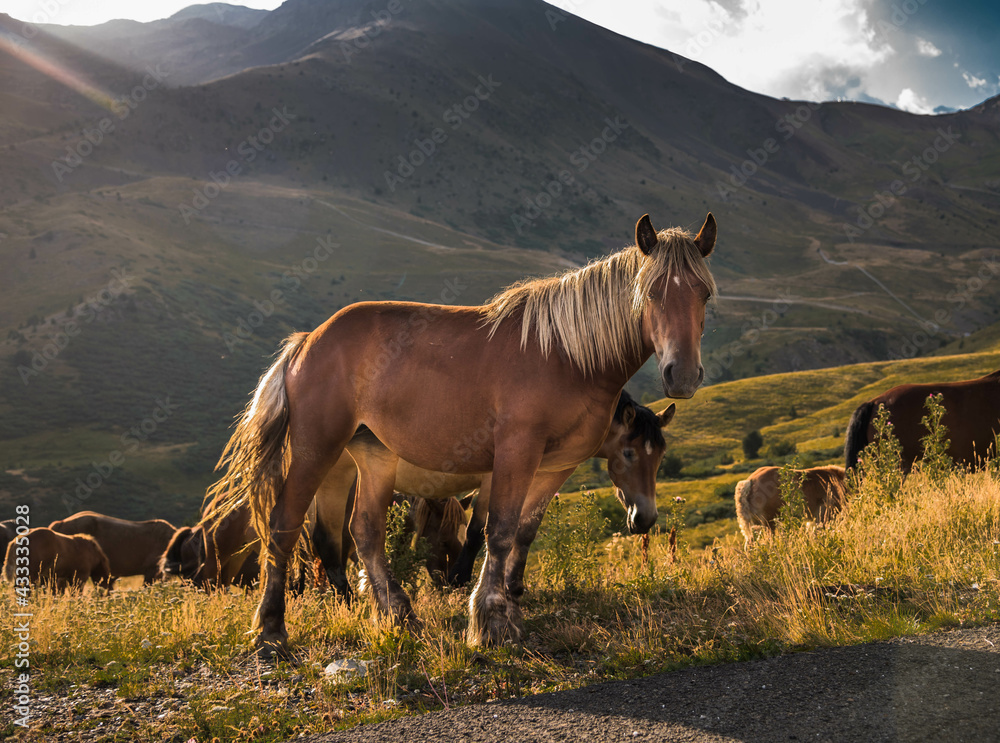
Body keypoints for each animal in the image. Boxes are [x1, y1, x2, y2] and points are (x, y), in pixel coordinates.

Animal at [211, 212, 717, 655]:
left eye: (705, 295)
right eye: (651, 291)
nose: (682, 374)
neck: (570, 356)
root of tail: (306, 343)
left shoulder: (553, 466)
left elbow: (524, 531)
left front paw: (510, 602)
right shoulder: (514, 454)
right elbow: (498, 531)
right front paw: (490, 620)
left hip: (375, 457)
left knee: (366, 532)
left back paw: (399, 614)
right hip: (317, 451)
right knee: (285, 525)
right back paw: (272, 631)